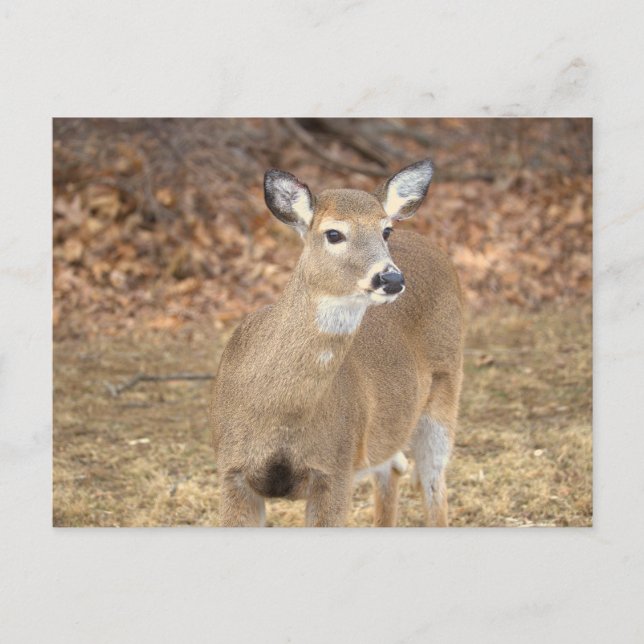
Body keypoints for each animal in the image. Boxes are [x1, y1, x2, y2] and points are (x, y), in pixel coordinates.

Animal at [210, 159, 464, 527]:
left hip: (446, 390)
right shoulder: (231, 470)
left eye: (386, 230)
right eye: (333, 233)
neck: (279, 417)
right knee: (393, 468)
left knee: (433, 483)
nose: (391, 278)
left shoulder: (336, 469)